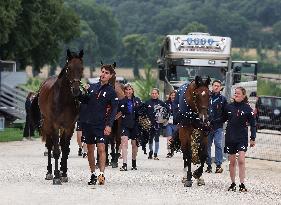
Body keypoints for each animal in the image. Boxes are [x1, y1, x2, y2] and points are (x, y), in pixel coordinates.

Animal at [30, 49, 83, 184]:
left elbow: (65, 149)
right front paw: (57, 177)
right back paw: (49, 172)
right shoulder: (54, 126)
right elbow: (56, 151)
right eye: (69, 68)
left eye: (81, 68)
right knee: (50, 146)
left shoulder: (69, 127)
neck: (64, 99)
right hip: (47, 125)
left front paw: (63, 174)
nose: (76, 90)